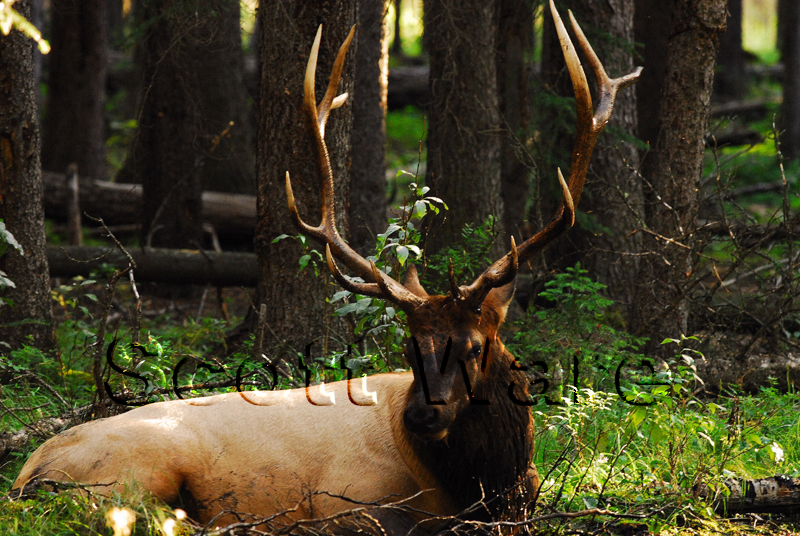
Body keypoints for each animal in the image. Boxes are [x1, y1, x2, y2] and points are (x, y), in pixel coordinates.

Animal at [13, 1, 640, 533]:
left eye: (473, 345)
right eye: (410, 345)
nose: (420, 417)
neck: (488, 484)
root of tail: (26, 474)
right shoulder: (346, 502)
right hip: (136, 471)